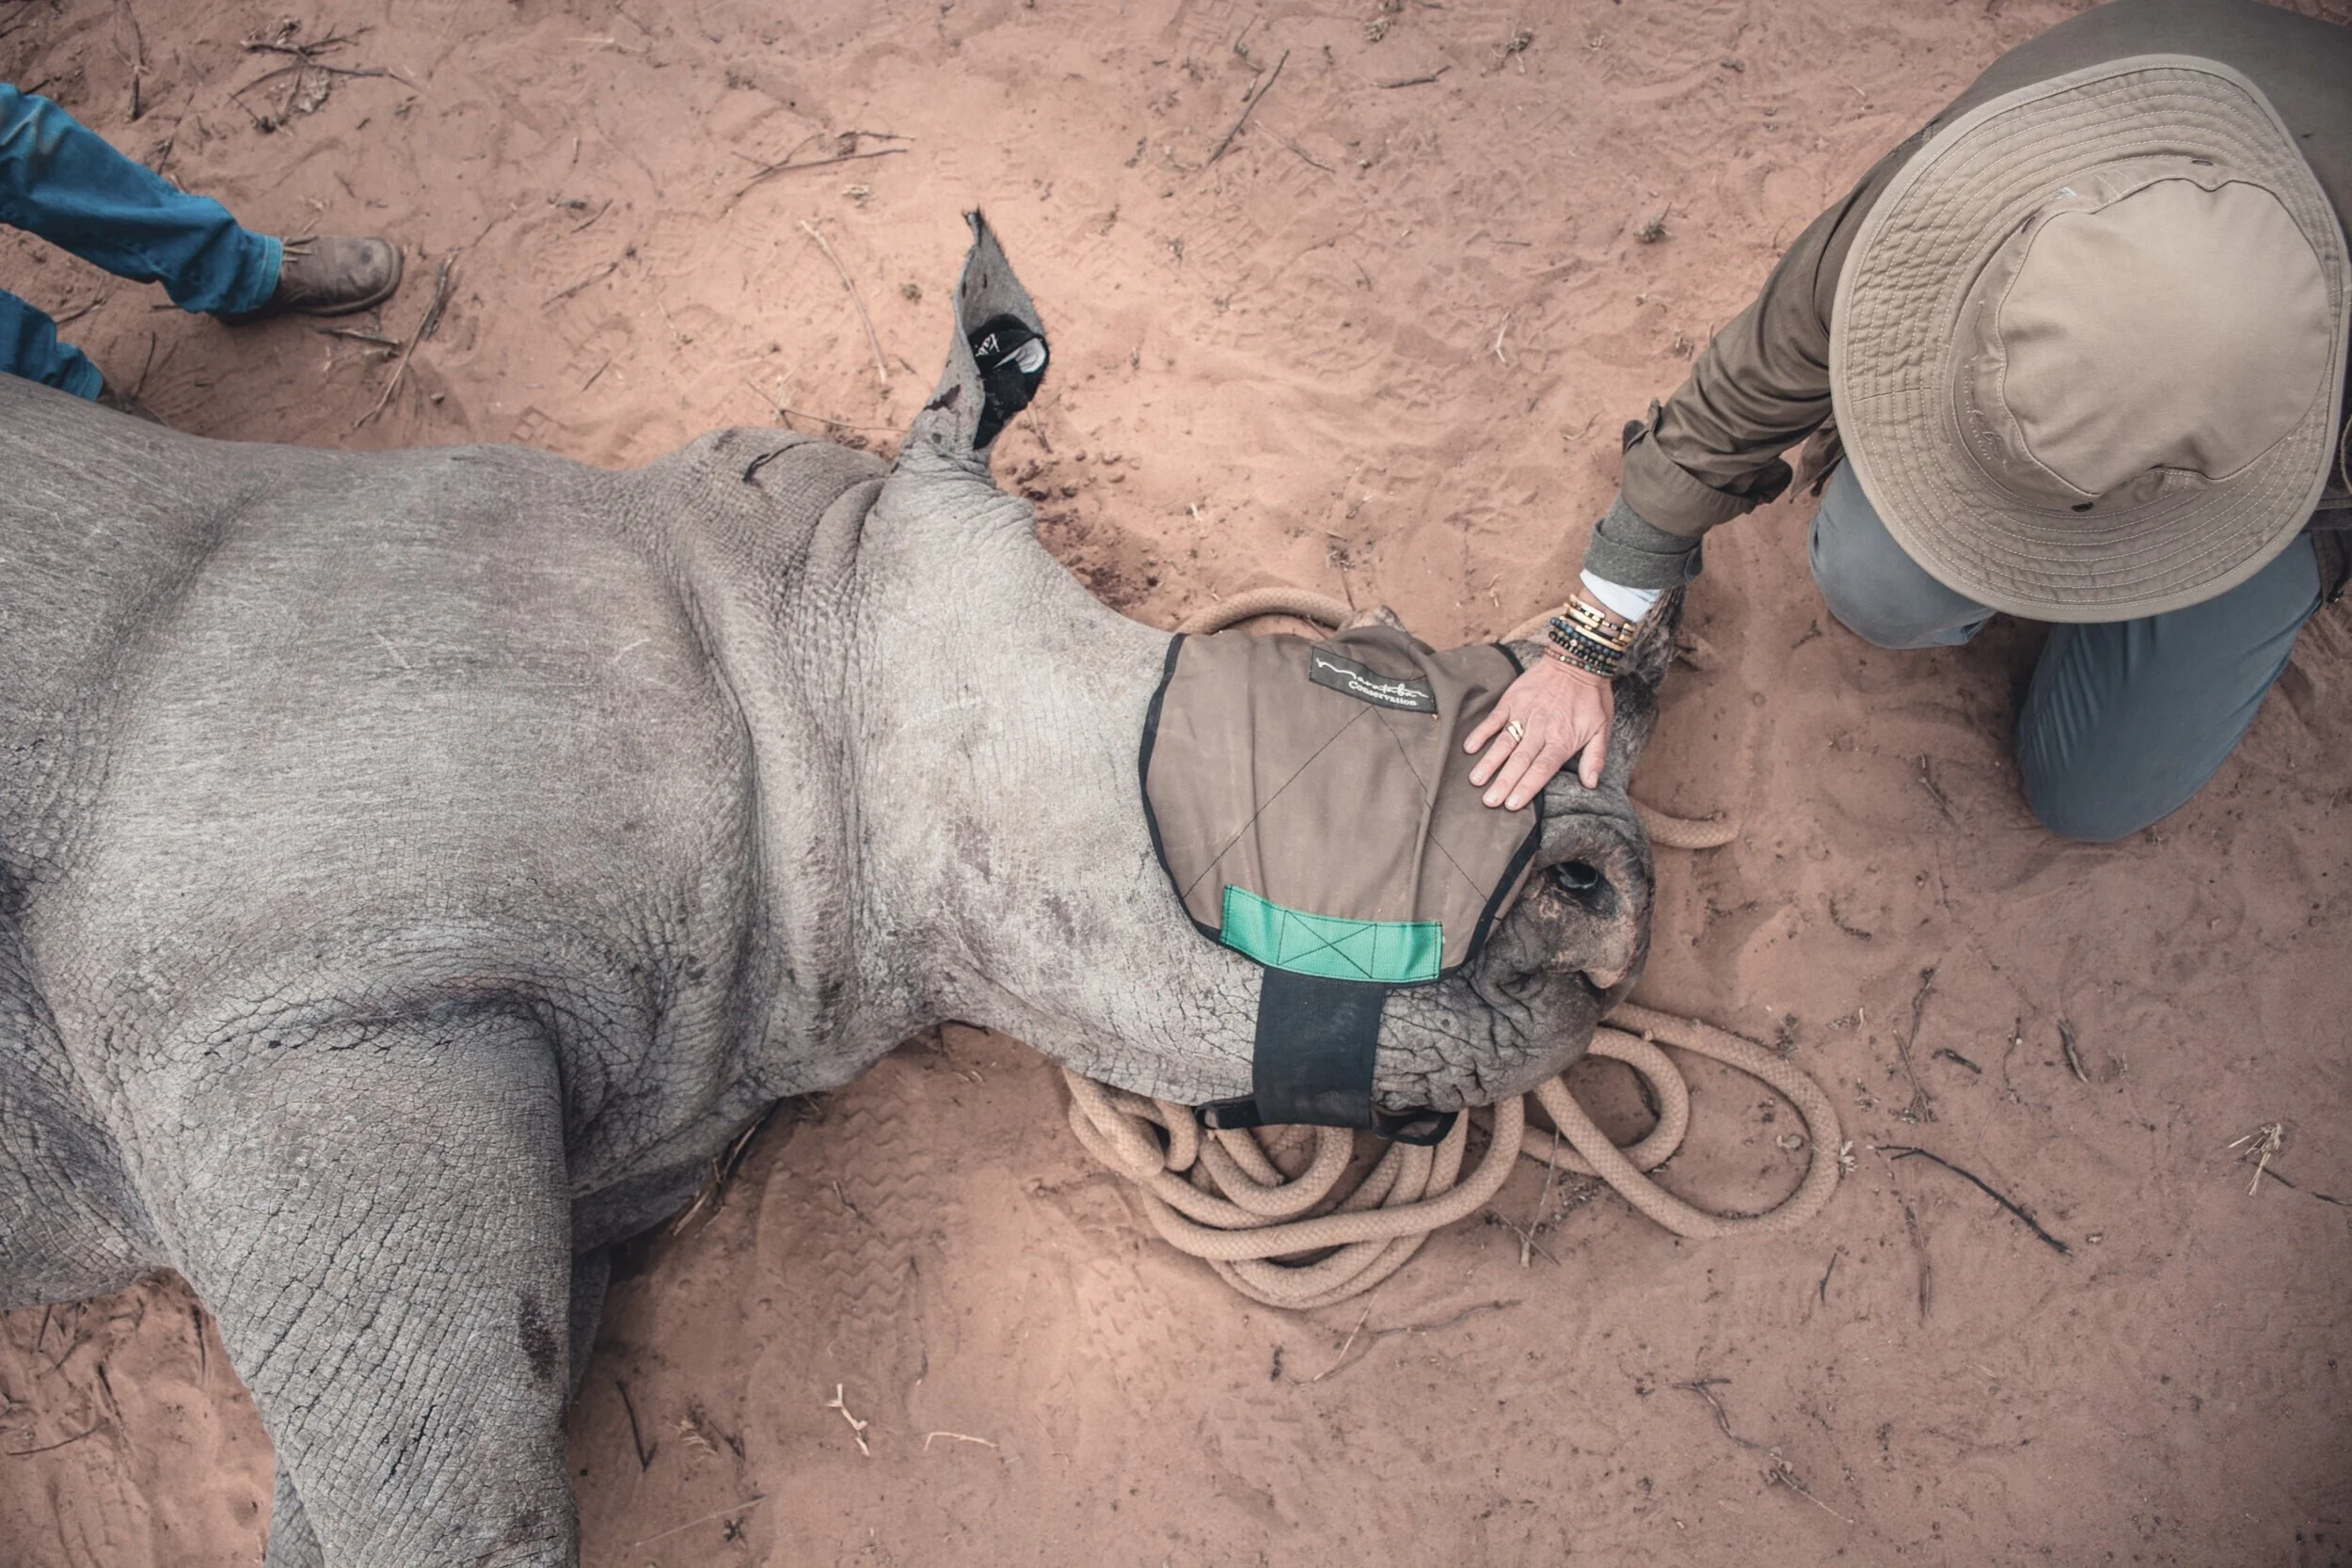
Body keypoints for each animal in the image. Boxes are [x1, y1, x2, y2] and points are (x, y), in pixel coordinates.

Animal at [0, 218, 1666, 1566]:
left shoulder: (603, 1146)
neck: (802, 638)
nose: (1612, 886)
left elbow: (426, 1470)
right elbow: (465, 1502)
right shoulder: (298, 1002)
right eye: (1351, 685)